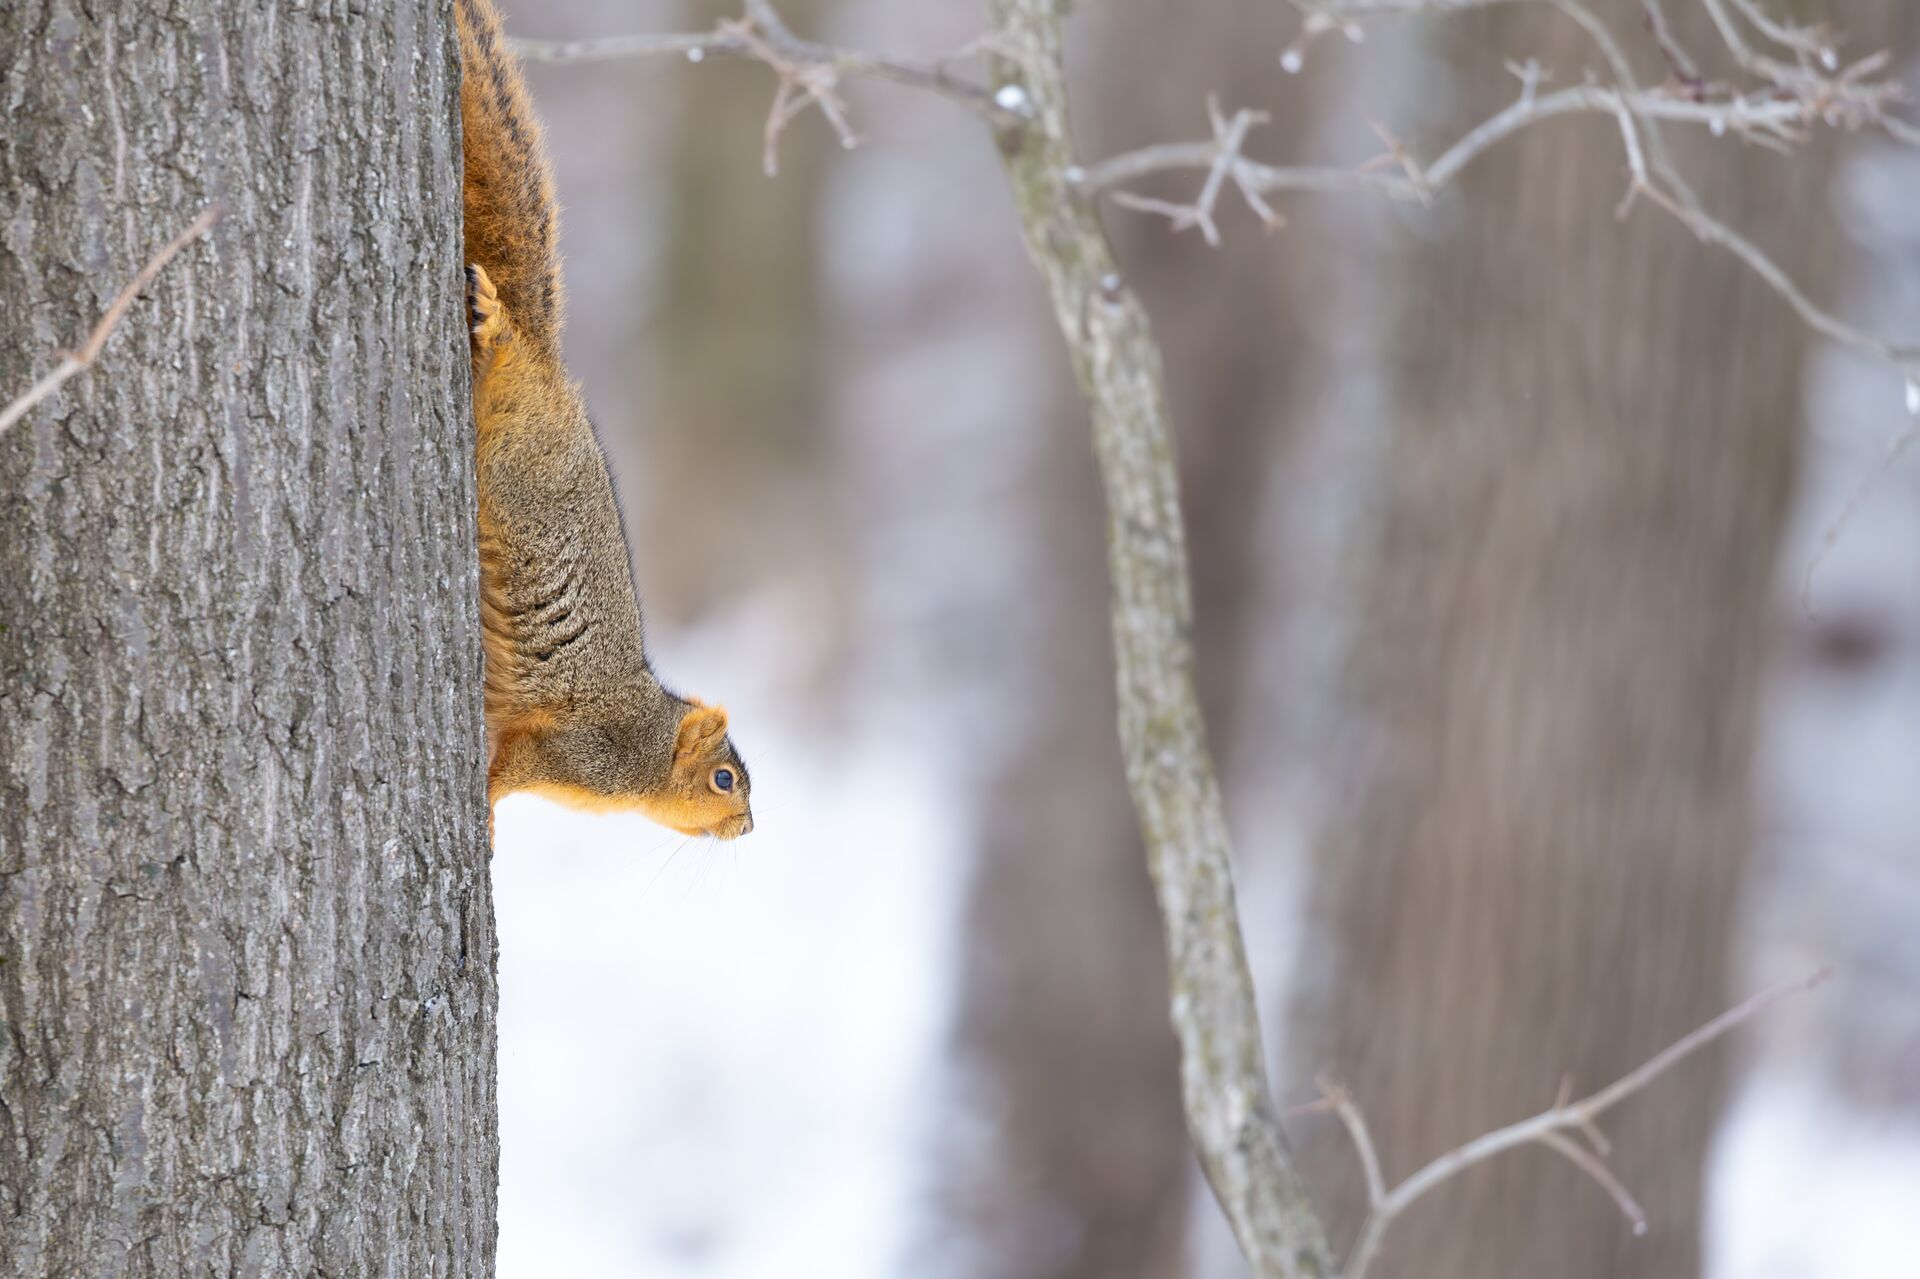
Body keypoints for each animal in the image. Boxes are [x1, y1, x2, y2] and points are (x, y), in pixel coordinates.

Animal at [456, 0, 748, 837]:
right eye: (724, 780)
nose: (749, 827)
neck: (648, 743)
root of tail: (555, 378)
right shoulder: (580, 752)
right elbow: (510, 769)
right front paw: (489, 820)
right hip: (516, 449)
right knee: (506, 352)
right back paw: (493, 319)